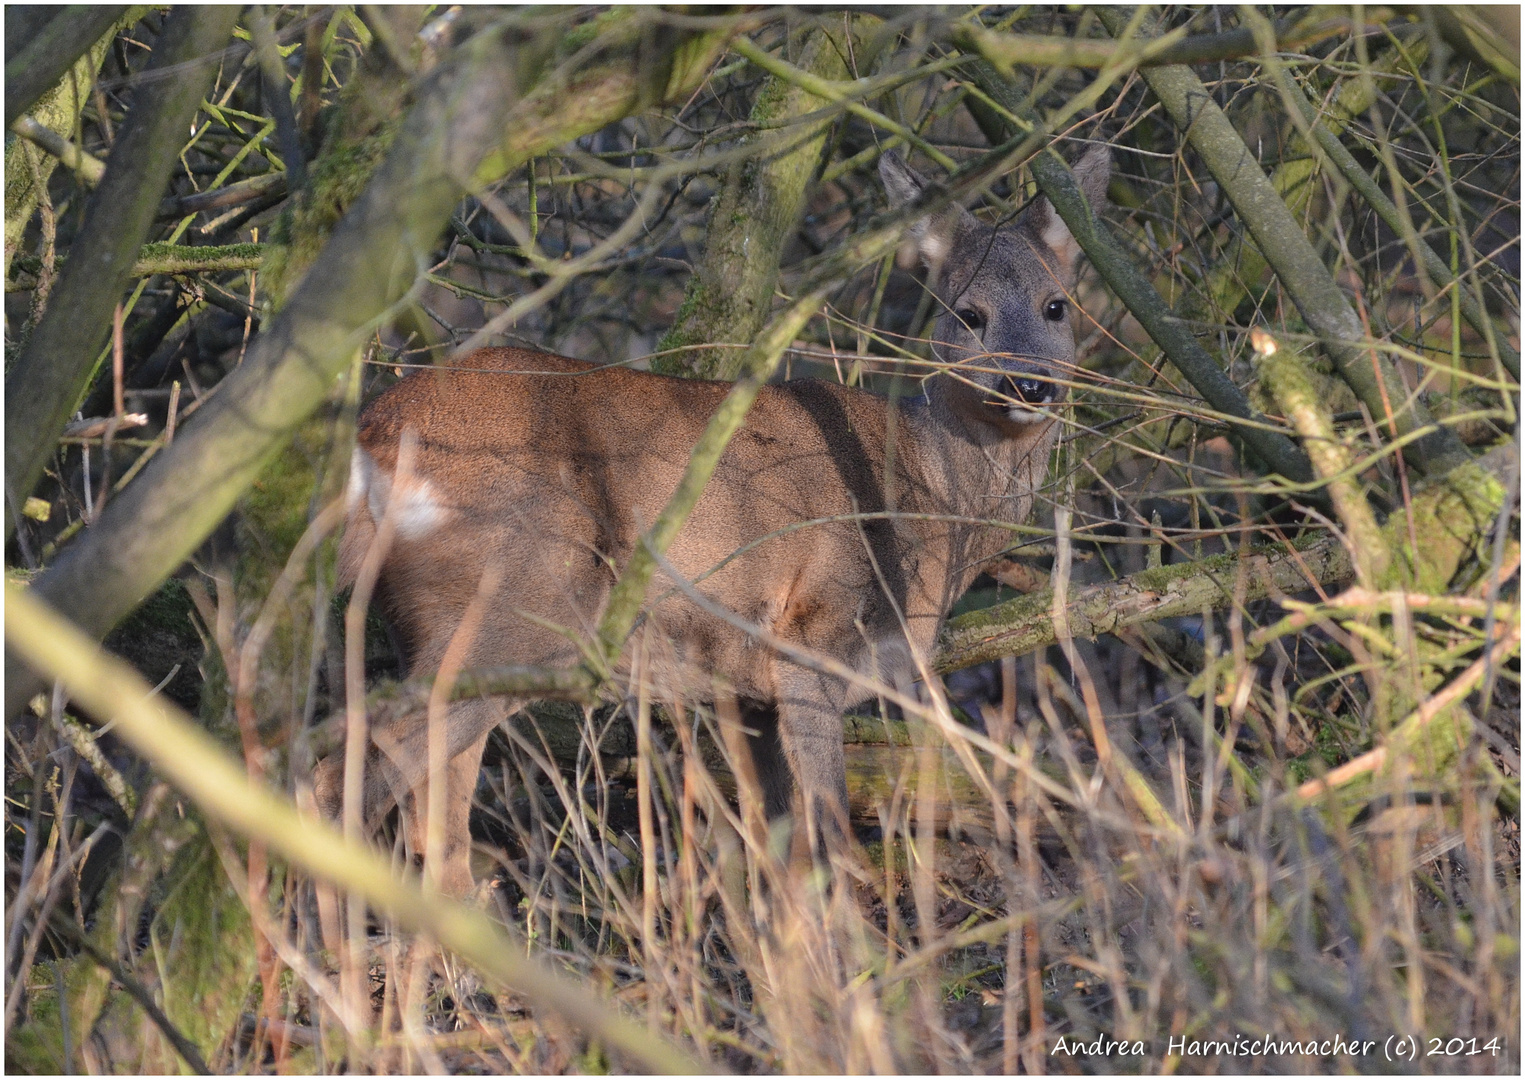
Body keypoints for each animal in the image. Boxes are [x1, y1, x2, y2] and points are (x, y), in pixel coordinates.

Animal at [318, 147, 1110, 896]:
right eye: (968, 314)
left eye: (1055, 305)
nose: (1028, 385)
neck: (928, 498)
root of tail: (376, 432)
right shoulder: (810, 632)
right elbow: (833, 840)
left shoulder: (746, 692)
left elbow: (783, 851)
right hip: (514, 606)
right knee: (360, 770)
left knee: (434, 821)